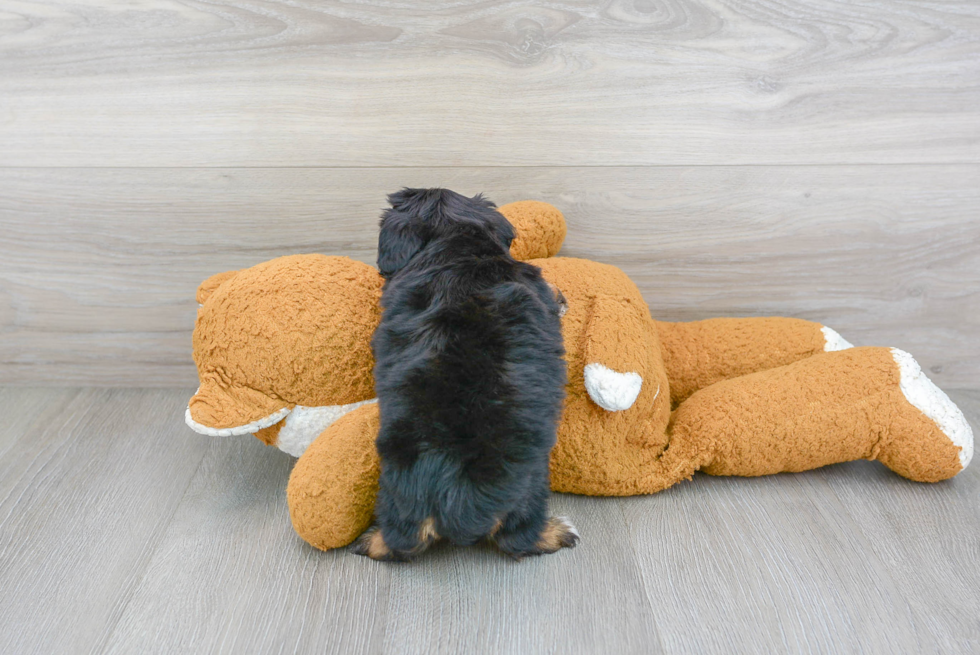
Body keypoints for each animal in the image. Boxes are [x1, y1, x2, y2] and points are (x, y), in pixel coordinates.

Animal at [354, 187, 580, 560]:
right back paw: (557, 532)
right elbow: (550, 290)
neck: (451, 245)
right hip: (529, 486)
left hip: (395, 491)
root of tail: (452, 497)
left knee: (399, 540)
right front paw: (561, 297)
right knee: (518, 537)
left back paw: (372, 540)